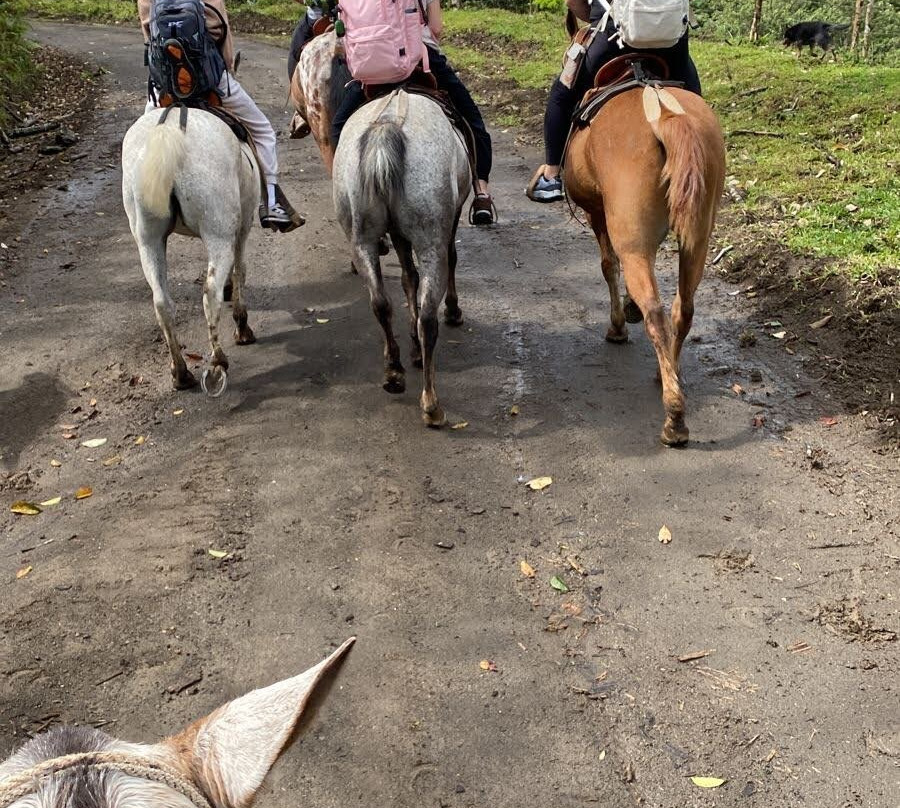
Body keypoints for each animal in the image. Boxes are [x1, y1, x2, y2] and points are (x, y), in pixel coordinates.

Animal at [121, 106, 260, 397]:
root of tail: (168, 131)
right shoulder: (242, 227)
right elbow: (240, 270)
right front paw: (242, 326)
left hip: (148, 239)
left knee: (162, 302)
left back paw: (181, 373)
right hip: (218, 231)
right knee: (209, 293)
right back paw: (218, 360)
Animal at [332, 88, 470, 428]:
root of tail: (386, 127)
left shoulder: (396, 234)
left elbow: (409, 279)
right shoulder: (448, 223)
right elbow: (449, 260)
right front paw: (453, 311)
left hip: (362, 239)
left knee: (380, 302)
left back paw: (394, 371)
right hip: (430, 240)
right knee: (428, 317)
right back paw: (431, 404)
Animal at [563, 52, 726, 446]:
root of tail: (665, 115)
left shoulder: (598, 214)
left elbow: (608, 265)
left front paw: (619, 324)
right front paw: (628, 308)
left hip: (633, 239)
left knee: (654, 309)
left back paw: (674, 420)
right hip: (698, 237)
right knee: (683, 308)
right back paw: (668, 374)